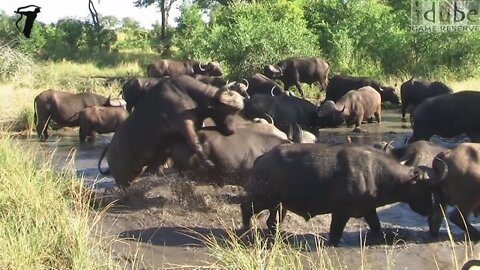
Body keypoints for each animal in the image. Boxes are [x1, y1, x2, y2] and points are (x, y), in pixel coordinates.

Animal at [100, 75, 246, 189]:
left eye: (237, 111)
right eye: (227, 110)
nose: (232, 130)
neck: (189, 94)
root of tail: (109, 149)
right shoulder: (184, 124)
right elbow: (195, 143)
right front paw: (208, 163)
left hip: (136, 171)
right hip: (122, 179)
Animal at [242, 143, 440, 247]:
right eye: (425, 188)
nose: (430, 209)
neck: (375, 173)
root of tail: (262, 158)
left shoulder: (369, 210)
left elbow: (376, 226)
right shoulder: (340, 213)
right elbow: (335, 234)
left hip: (279, 205)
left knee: (272, 221)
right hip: (261, 198)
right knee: (245, 208)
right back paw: (246, 229)